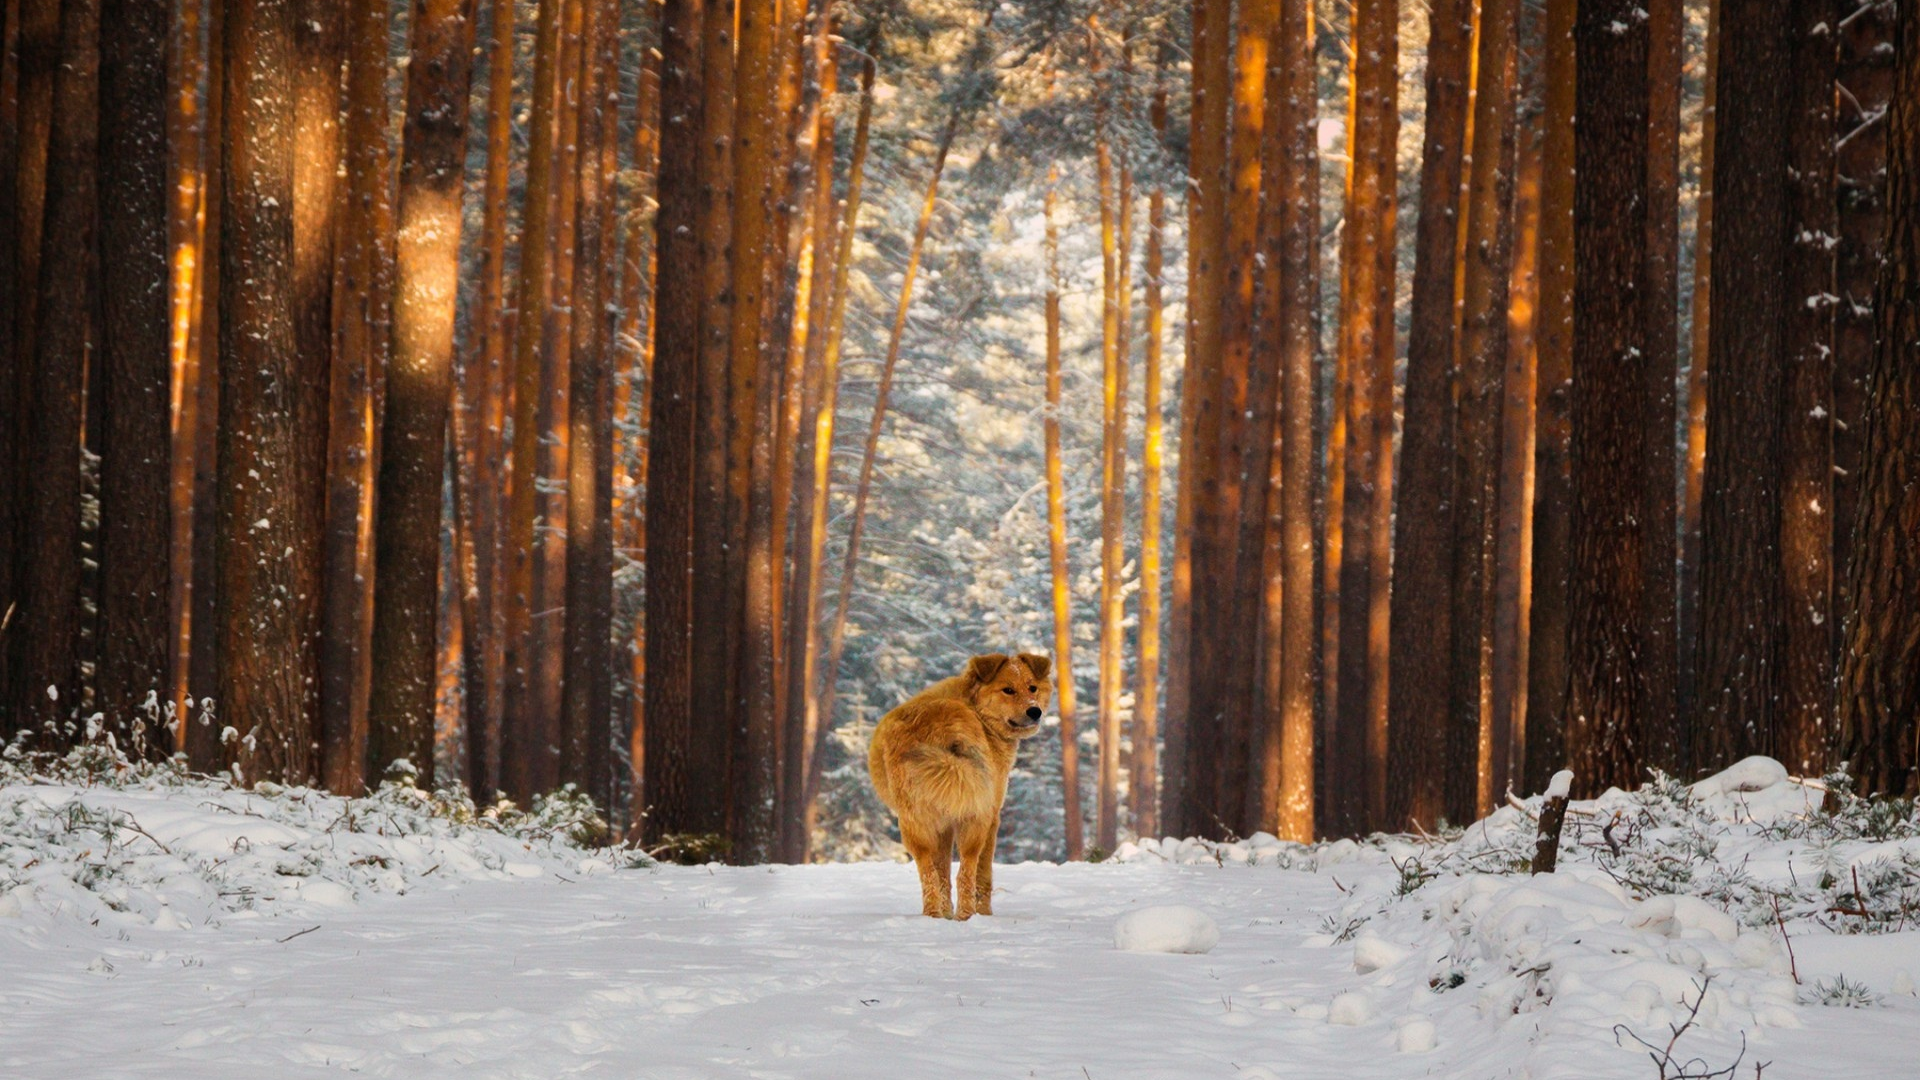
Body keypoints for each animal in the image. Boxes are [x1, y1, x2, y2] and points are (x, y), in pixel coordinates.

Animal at [867, 645, 1052, 914]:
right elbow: (982, 874)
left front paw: (945, 913)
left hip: (915, 824)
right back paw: (966, 915)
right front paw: (983, 914)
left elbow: (942, 871)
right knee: (966, 870)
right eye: (1008, 690)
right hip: (974, 819)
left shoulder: (944, 825)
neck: (976, 709)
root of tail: (942, 725)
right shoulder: (991, 816)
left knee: (929, 873)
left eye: (1032, 688)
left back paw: (933, 914)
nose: (1034, 711)